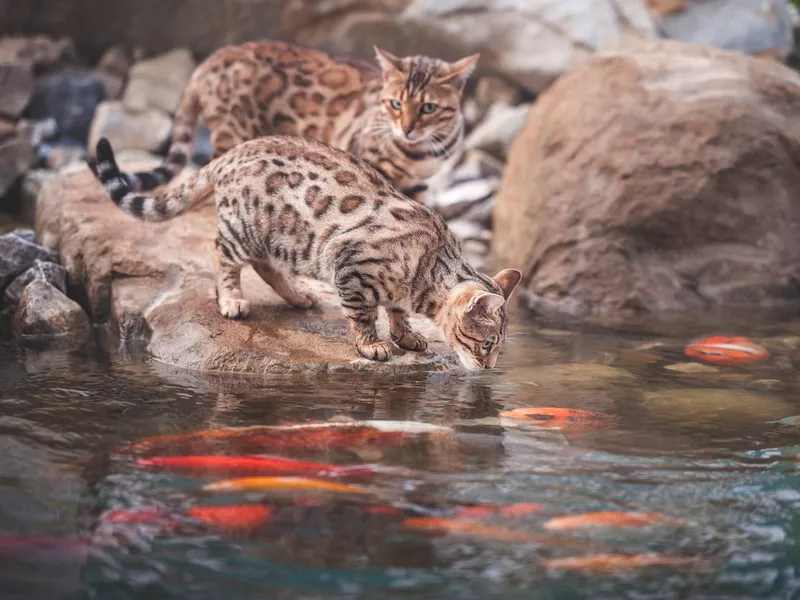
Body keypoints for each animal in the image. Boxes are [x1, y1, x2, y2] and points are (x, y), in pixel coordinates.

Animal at [92, 137, 520, 370]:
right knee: (221, 253)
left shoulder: (393, 288)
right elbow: (363, 314)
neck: (429, 266)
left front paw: (406, 335)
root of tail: (231, 153)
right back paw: (231, 299)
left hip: (279, 239)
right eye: (487, 345)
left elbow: (396, 311)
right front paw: (372, 344)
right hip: (244, 228)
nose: (489, 367)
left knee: (265, 265)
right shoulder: (350, 266)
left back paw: (298, 295)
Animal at [122, 41, 478, 204]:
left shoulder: (419, 183)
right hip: (233, 131)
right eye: (396, 104)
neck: (420, 152)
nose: (407, 128)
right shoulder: (369, 165)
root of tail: (210, 60)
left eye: (428, 108)